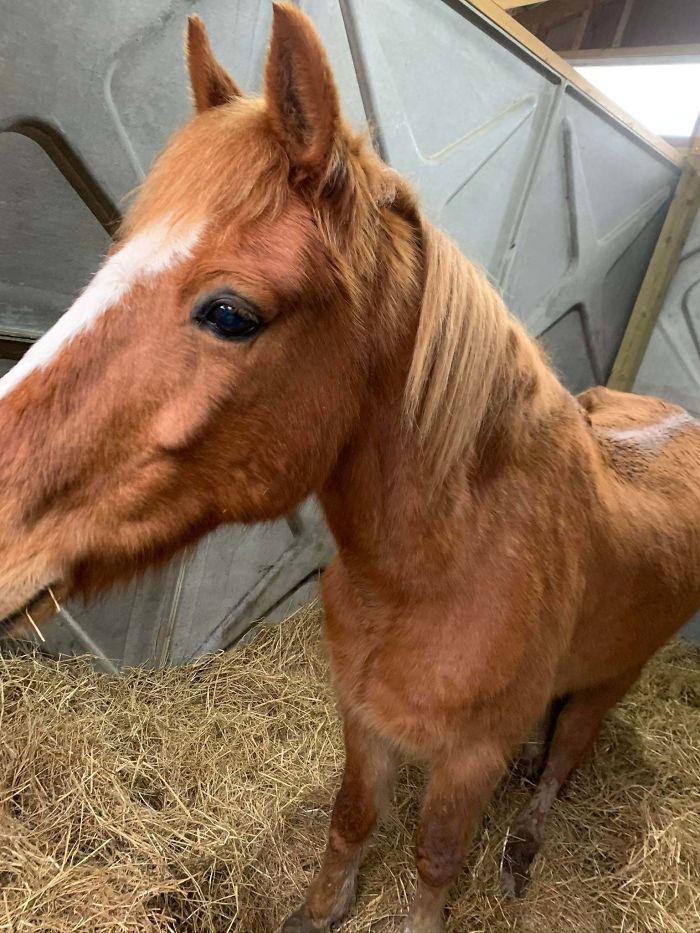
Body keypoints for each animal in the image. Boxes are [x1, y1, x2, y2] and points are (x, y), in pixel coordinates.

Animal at [1, 5, 699, 931]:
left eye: (231, 313)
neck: (448, 565)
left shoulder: (467, 758)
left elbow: (436, 858)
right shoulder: (364, 718)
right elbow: (353, 817)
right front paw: (318, 908)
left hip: (612, 682)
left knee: (563, 764)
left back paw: (522, 849)